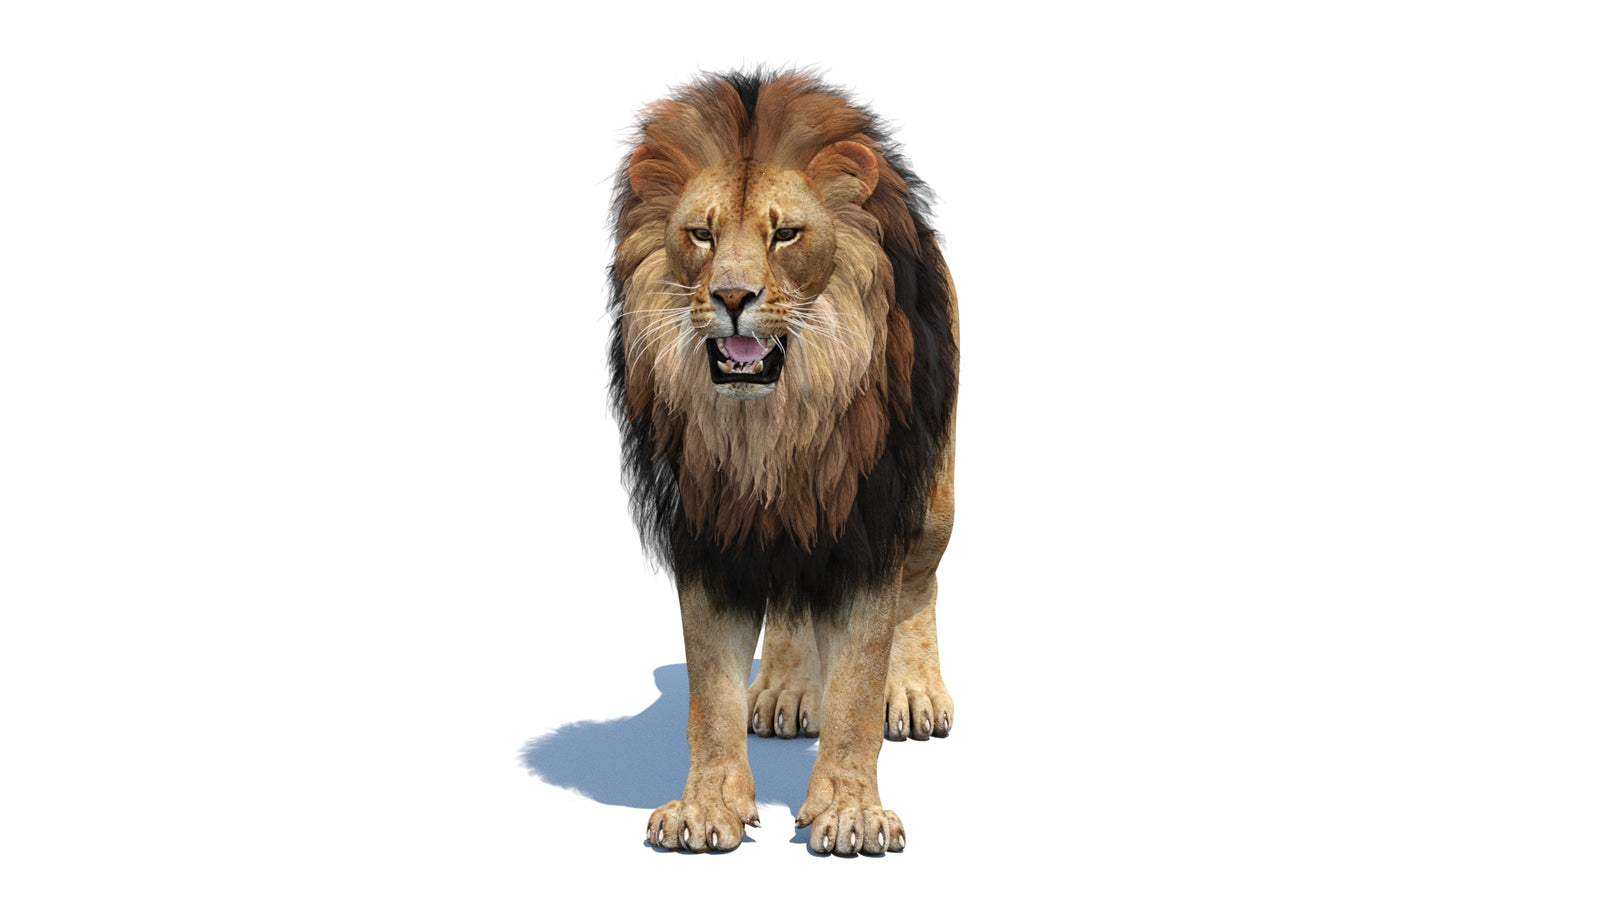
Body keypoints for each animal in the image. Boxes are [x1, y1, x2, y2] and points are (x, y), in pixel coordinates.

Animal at [608, 71, 958, 856]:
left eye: (786, 233)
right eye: (701, 234)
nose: (732, 297)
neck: (771, 428)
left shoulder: (869, 525)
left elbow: (857, 686)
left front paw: (850, 813)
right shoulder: (708, 528)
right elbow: (710, 691)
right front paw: (705, 806)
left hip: (934, 500)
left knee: (921, 584)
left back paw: (914, 691)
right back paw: (785, 692)